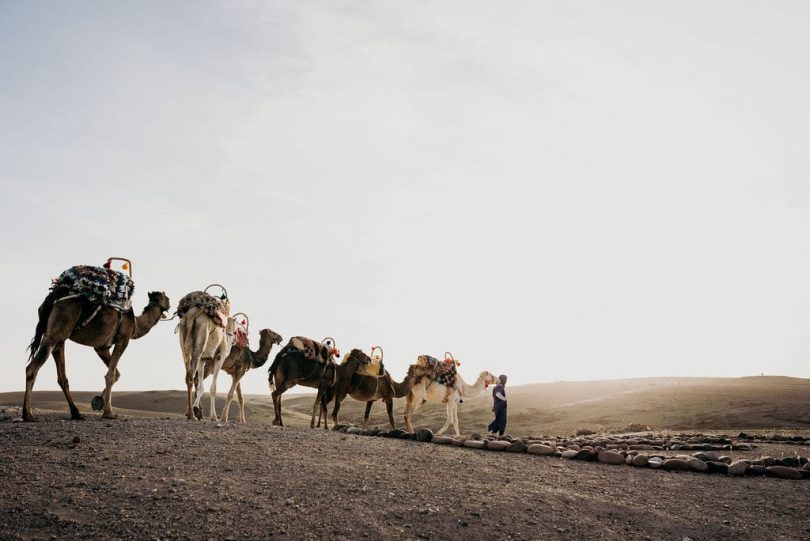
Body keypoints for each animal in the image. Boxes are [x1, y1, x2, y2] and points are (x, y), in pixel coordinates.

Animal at [24, 264, 169, 420]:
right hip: (55, 333)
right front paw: (109, 412)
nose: (170, 304)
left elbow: (116, 373)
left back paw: (76, 413)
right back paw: (28, 415)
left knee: (62, 378)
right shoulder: (123, 339)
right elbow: (111, 375)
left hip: (59, 339)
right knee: (31, 368)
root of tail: (53, 298)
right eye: (166, 298)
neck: (135, 323)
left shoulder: (101, 347)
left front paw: (98, 401)